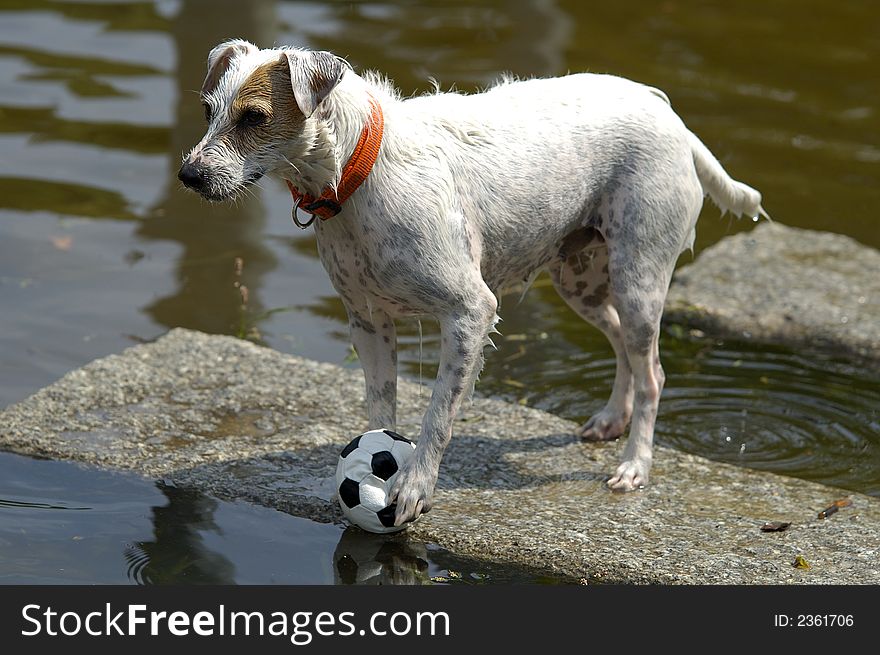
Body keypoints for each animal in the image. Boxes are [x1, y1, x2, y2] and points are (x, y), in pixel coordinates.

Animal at [179, 41, 764, 528]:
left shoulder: (470, 313)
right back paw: (610, 420)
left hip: (639, 281)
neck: (361, 172)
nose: (188, 176)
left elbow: (438, 416)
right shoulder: (368, 322)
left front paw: (414, 488)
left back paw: (635, 466)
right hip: (582, 283)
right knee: (624, 346)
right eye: (208, 110)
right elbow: (380, 410)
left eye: (253, 117)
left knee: (654, 375)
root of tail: (671, 118)